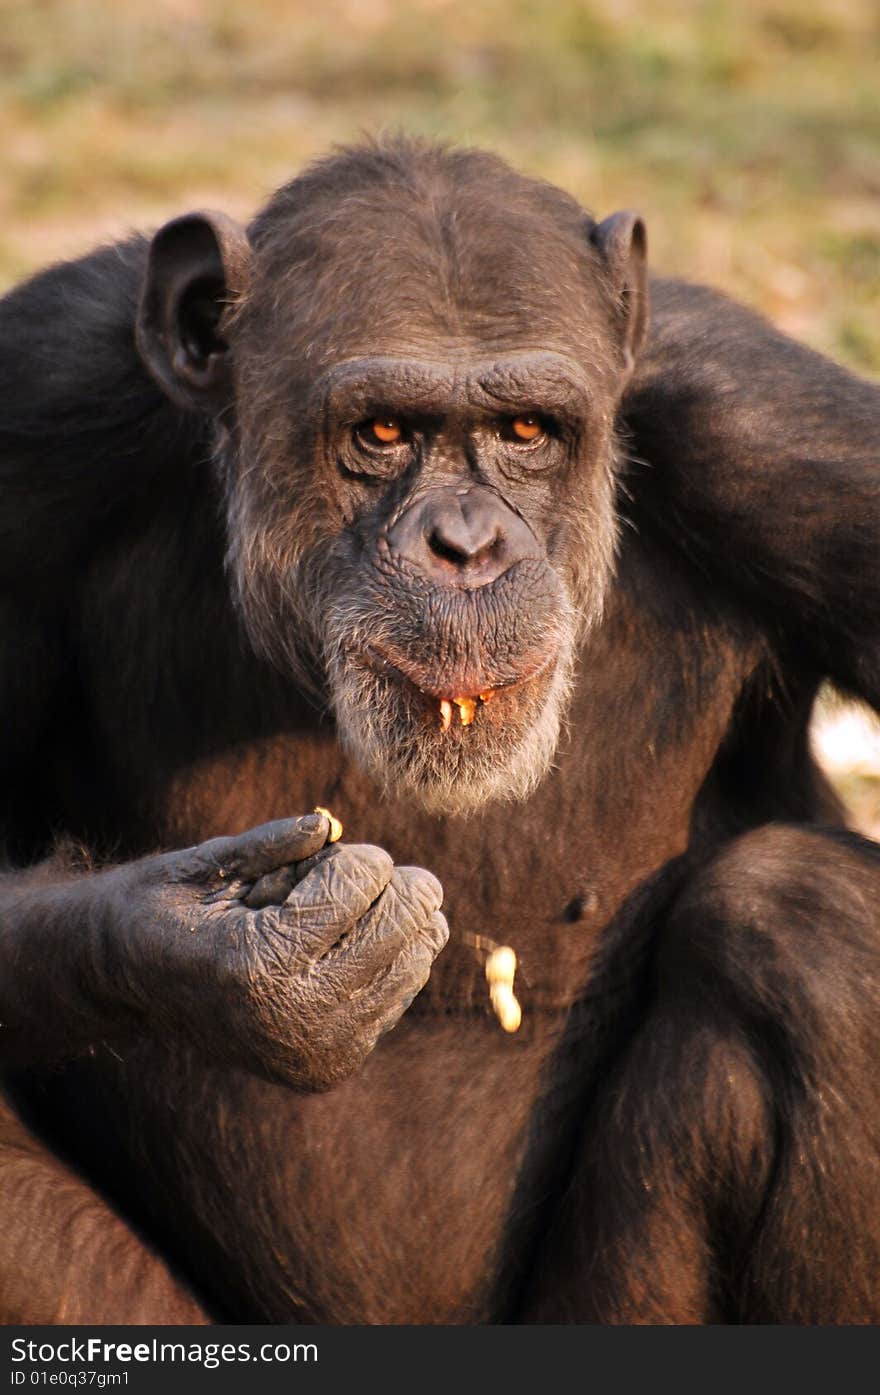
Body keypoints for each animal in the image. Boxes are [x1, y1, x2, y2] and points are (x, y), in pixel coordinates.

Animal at [1, 136, 880, 1322]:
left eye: (525, 432)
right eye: (381, 431)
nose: (465, 544)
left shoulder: (794, 450)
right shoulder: (35, 418)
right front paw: (218, 954)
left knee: (807, 927)